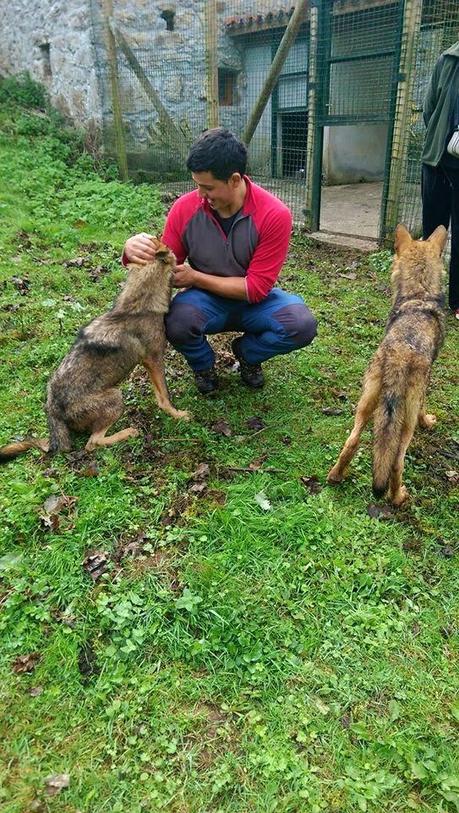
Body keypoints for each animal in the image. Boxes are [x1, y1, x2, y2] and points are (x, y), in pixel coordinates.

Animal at [0, 238, 189, 461]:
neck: (139, 306)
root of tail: (52, 409)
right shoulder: (154, 360)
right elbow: (164, 397)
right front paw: (178, 415)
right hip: (116, 397)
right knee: (93, 443)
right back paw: (128, 432)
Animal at [327, 224, 447, 505]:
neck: (419, 295)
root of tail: (399, 354)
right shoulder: (424, 392)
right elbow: (425, 410)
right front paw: (429, 421)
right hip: (406, 423)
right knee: (396, 463)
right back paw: (398, 497)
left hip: (365, 405)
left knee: (351, 442)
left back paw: (335, 476)